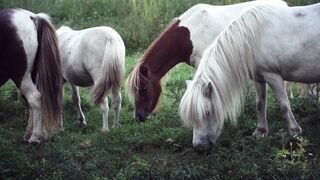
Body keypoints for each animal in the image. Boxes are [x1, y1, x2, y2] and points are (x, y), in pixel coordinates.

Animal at [0, 8, 63, 143]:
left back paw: (35, 136)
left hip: (21, 76)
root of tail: (32, 16)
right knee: (32, 101)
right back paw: (31, 134)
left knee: (34, 98)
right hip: (31, 75)